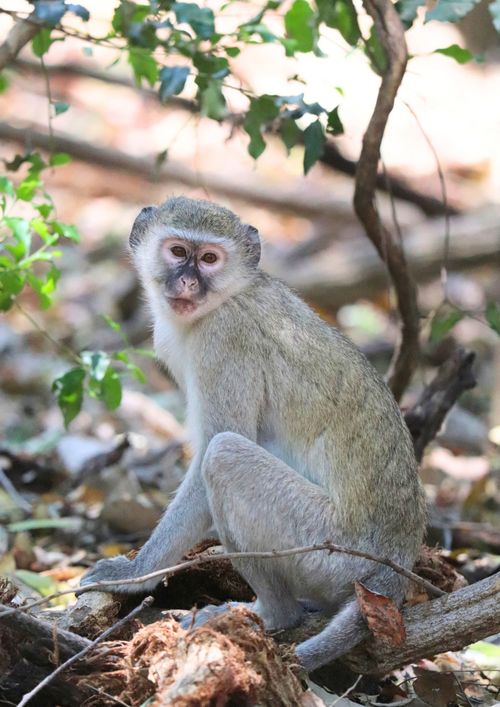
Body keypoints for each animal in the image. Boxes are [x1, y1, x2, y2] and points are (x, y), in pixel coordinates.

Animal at [81, 196, 426, 672]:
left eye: (209, 259)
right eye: (178, 251)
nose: (187, 281)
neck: (229, 295)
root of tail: (393, 565)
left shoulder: (225, 338)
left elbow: (214, 448)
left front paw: (134, 576)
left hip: (328, 551)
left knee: (224, 454)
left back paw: (274, 614)